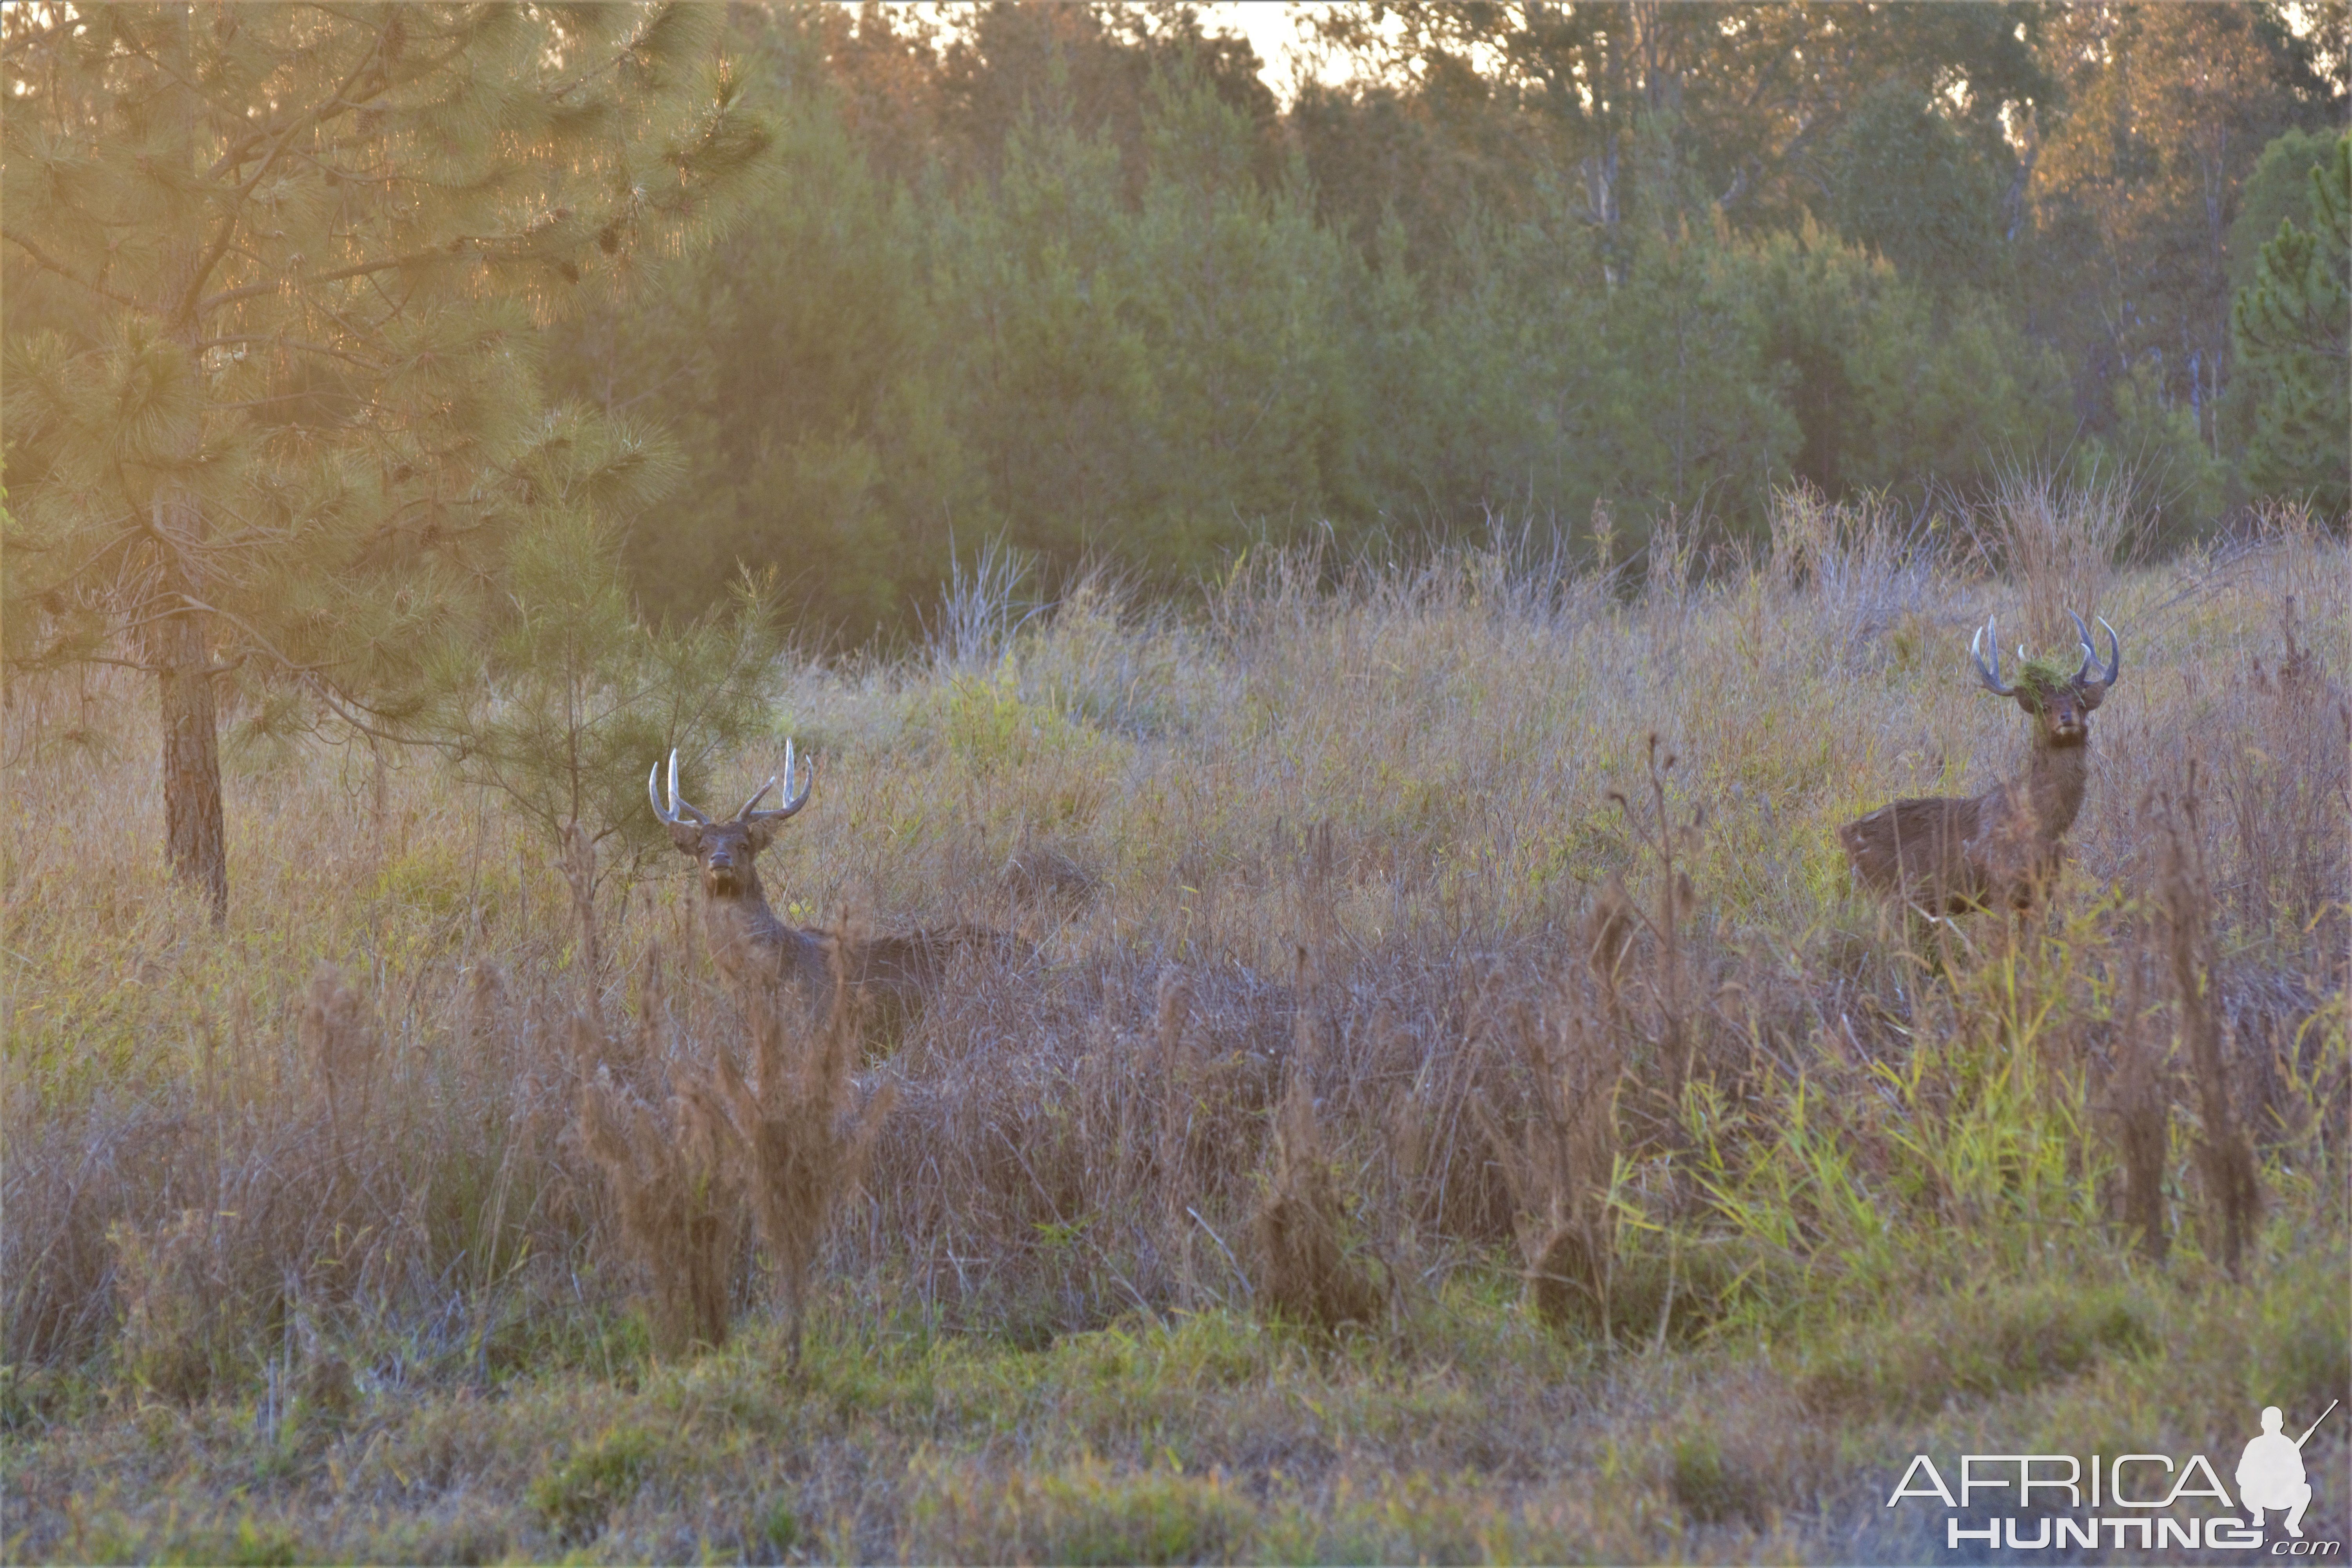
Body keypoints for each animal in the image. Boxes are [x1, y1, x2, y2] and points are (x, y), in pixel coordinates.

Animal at [1844, 611, 2126, 921]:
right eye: (2045, 707)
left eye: (2080, 704)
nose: (2067, 717)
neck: (2043, 826)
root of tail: (1846, 835)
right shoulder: (1997, 886)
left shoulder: (2042, 892)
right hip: (1886, 895)